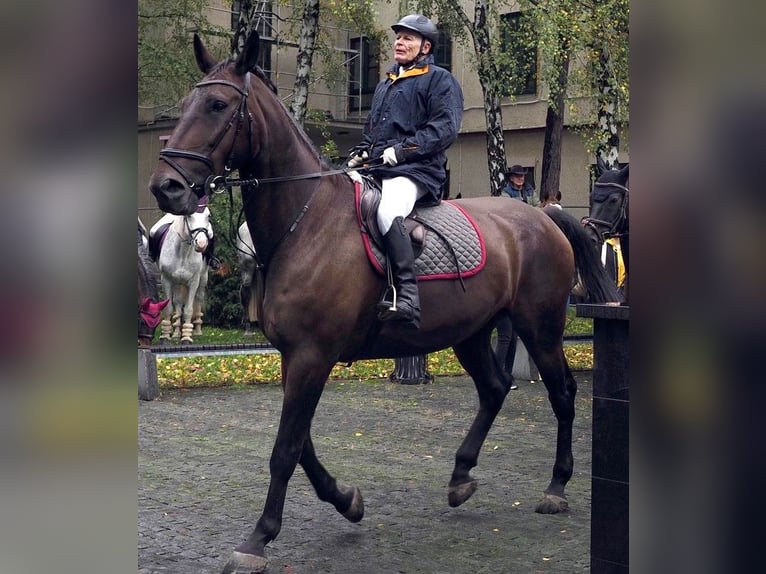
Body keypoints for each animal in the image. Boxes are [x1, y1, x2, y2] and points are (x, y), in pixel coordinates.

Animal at [148, 205, 213, 344]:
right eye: (189, 215)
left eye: (208, 216)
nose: (201, 244)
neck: (183, 251)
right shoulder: (166, 280)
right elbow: (168, 308)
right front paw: (165, 337)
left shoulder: (194, 281)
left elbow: (188, 310)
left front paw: (187, 338)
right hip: (178, 282)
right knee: (177, 302)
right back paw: (177, 333)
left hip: (203, 278)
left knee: (198, 298)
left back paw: (197, 331)